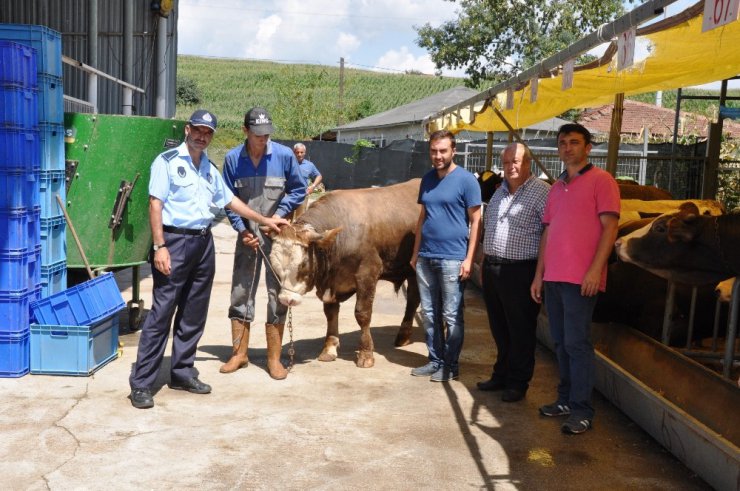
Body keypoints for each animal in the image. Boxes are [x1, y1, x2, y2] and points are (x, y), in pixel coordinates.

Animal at [272, 179, 422, 368]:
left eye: (303, 264)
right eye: (274, 266)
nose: (286, 299)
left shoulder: (368, 273)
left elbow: (362, 313)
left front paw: (366, 353)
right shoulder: (331, 284)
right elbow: (330, 313)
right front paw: (329, 348)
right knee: (413, 299)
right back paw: (403, 336)